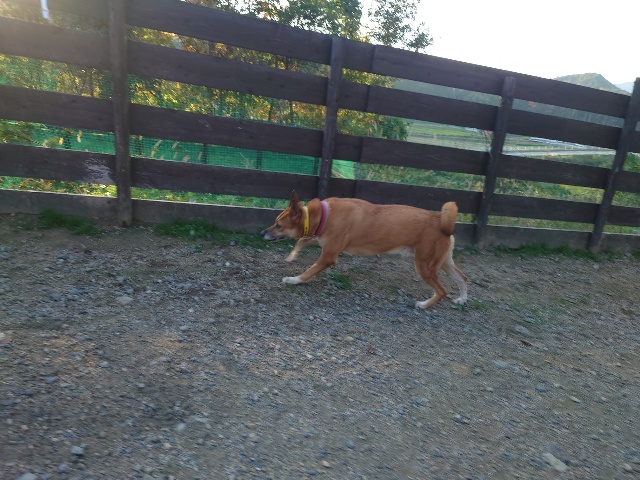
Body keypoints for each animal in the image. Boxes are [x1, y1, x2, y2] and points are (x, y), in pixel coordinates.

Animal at [262, 191, 468, 309]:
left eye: (278, 225)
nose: (263, 232)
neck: (323, 215)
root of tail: (439, 220)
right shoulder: (321, 239)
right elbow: (301, 241)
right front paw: (292, 256)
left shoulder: (329, 255)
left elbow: (308, 271)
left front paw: (294, 280)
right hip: (443, 263)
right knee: (463, 278)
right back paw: (462, 299)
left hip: (424, 265)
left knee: (442, 291)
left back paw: (424, 305)